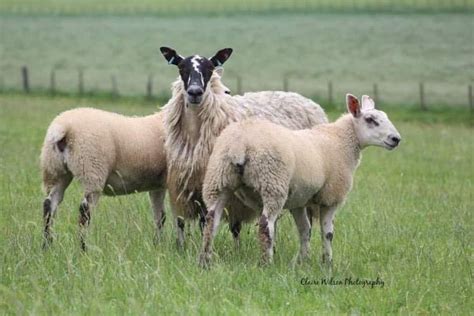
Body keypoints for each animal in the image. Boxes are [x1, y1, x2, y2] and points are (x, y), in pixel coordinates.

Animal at [40, 68, 230, 249]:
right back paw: (83, 248)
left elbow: (160, 216)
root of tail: (62, 129)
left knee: (50, 205)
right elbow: (179, 217)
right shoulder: (175, 182)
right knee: (84, 211)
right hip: (92, 171)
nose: (228, 94)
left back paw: (47, 245)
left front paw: (157, 245)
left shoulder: (158, 183)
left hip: (55, 171)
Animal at [158, 47, 326, 248]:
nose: (195, 92)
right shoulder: (190, 187)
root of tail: (306, 100)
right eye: (181, 67)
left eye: (210, 68)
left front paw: (235, 250)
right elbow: (197, 222)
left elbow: (233, 226)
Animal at [198, 93, 402, 266]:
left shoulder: (298, 200)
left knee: (211, 221)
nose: (396, 139)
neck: (341, 140)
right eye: (370, 120)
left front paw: (301, 261)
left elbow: (305, 230)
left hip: (219, 180)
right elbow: (328, 233)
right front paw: (327, 263)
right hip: (272, 184)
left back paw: (205, 261)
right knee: (265, 225)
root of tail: (239, 144)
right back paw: (266, 263)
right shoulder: (330, 197)